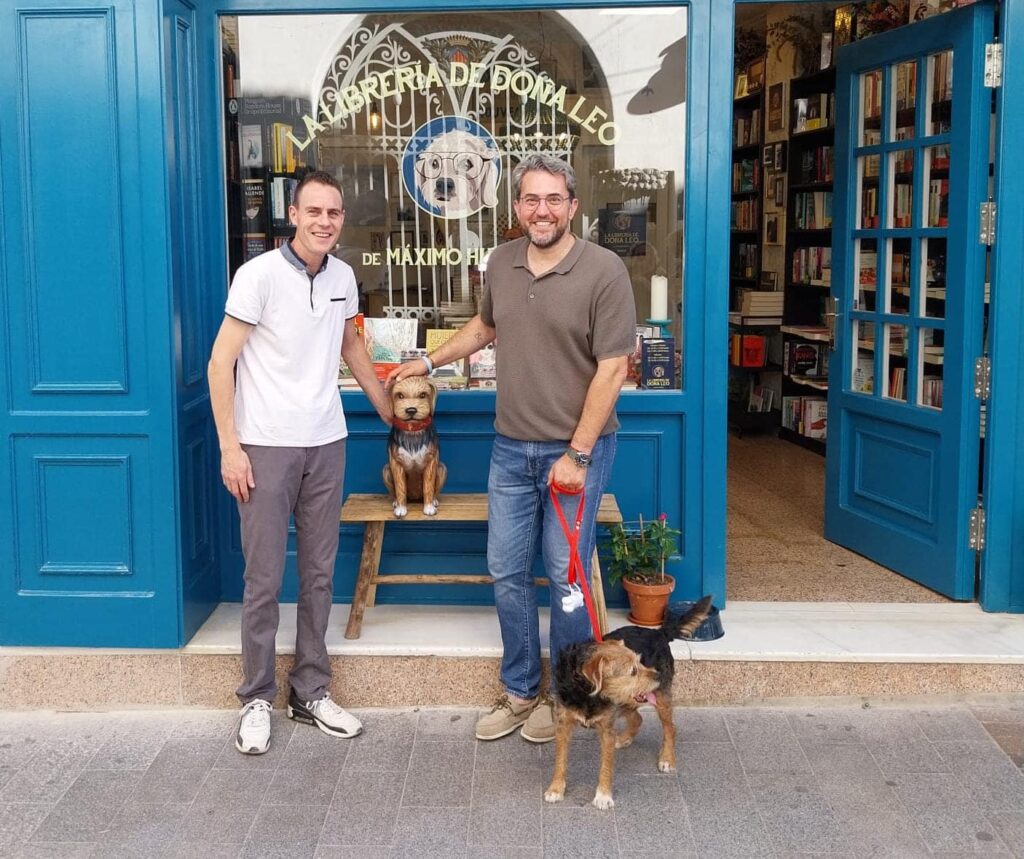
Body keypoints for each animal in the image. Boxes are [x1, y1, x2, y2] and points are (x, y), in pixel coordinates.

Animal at [382, 378, 446, 518]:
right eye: (400, 395)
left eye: (422, 395)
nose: (411, 410)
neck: (413, 431)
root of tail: (415, 497)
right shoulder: (396, 464)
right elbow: (400, 487)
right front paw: (401, 508)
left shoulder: (431, 463)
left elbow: (428, 486)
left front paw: (429, 507)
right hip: (386, 471)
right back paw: (396, 502)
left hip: (442, 469)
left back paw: (434, 500)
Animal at [544, 593, 712, 810]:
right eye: (632, 671)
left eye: (640, 661)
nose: (657, 675)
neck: (586, 693)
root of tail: (659, 632)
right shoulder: (563, 724)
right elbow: (560, 760)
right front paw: (556, 789)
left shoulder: (606, 729)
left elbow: (606, 766)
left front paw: (603, 796)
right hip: (626, 700)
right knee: (638, 718)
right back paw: (625, 738)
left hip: (661, 699)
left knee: (670, 728)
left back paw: (667, 758)